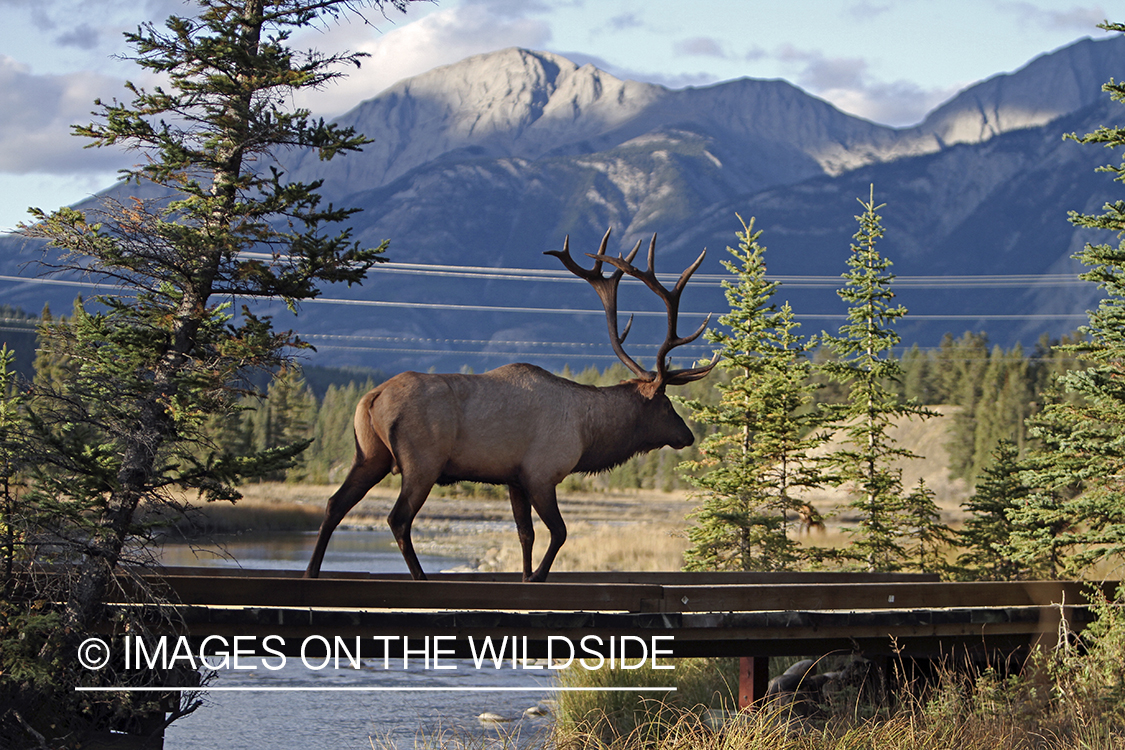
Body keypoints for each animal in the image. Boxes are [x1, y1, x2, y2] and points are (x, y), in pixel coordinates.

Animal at [303, 231, 715, 584]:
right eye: (666, 404)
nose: (687, 435)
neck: (588, 435)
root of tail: (370, 398)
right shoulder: (541, 473)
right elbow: (559, 532)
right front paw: (537, 577)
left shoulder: (513, 478)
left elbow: (525, 534)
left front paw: (525, 574)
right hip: (422, 462)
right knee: (398, 519)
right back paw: (419, 577)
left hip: (369, 455)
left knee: (334, 503)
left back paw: (311, 571)